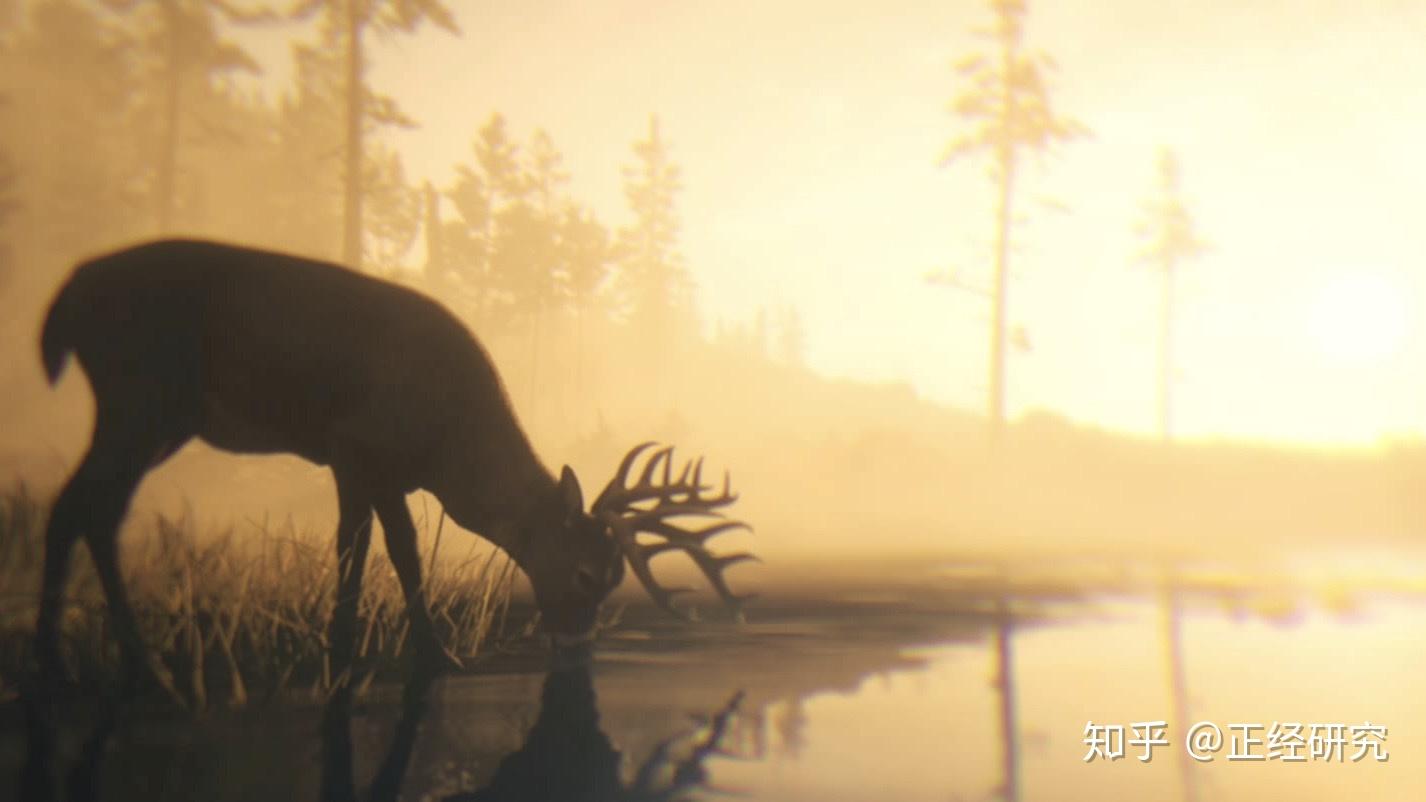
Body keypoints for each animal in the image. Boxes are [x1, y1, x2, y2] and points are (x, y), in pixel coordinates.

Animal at [33, 238, 755, 696]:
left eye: (614, 578)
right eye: (583, 572)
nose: (577, 650)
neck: (450, 442)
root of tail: (64, 297)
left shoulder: (389, 471)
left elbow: (397, 551)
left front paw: (423, 654)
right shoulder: (355, 448)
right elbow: (365, 547)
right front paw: (354, 657)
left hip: (157, 416)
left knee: (93, 510)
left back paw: (106, 667)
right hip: (138, 395)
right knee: (77, 506)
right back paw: (87, 671)